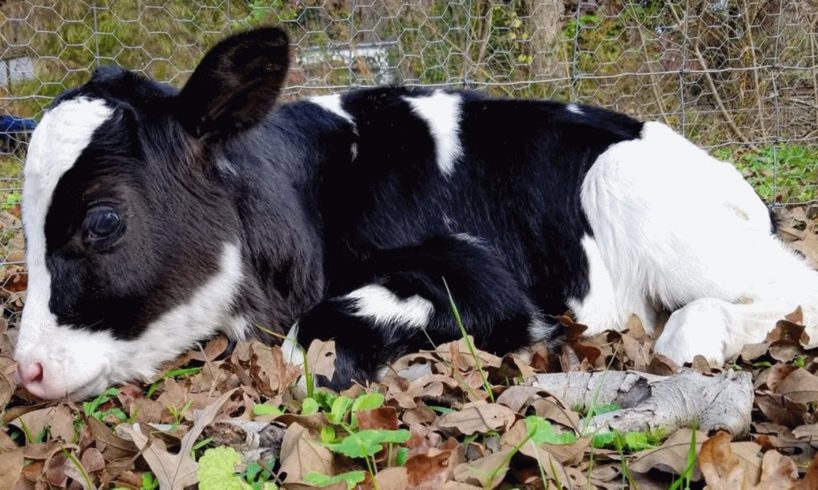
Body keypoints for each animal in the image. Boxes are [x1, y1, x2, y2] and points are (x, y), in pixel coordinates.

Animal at [11, 27, 816, 402]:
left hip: (630, 188)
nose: (28, 370)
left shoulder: (482, 273)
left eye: (103, 221)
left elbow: (312, 343)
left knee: (783, 293)